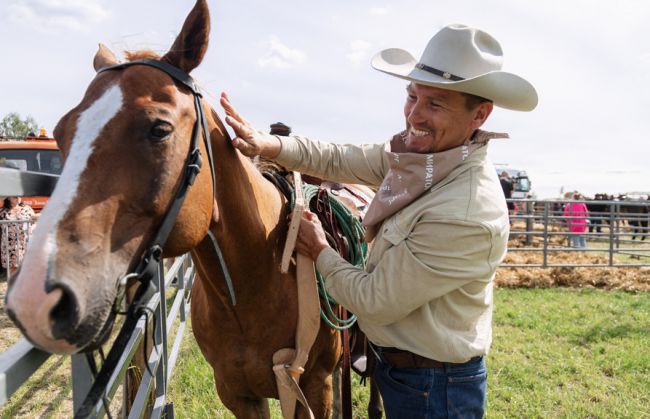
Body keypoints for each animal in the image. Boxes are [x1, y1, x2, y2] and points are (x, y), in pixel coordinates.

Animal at [3, 1, 380, 418]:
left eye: (160, 129)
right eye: (62, 130)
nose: (34, 299)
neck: (254, 285)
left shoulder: (314, 388)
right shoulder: (238, 393)